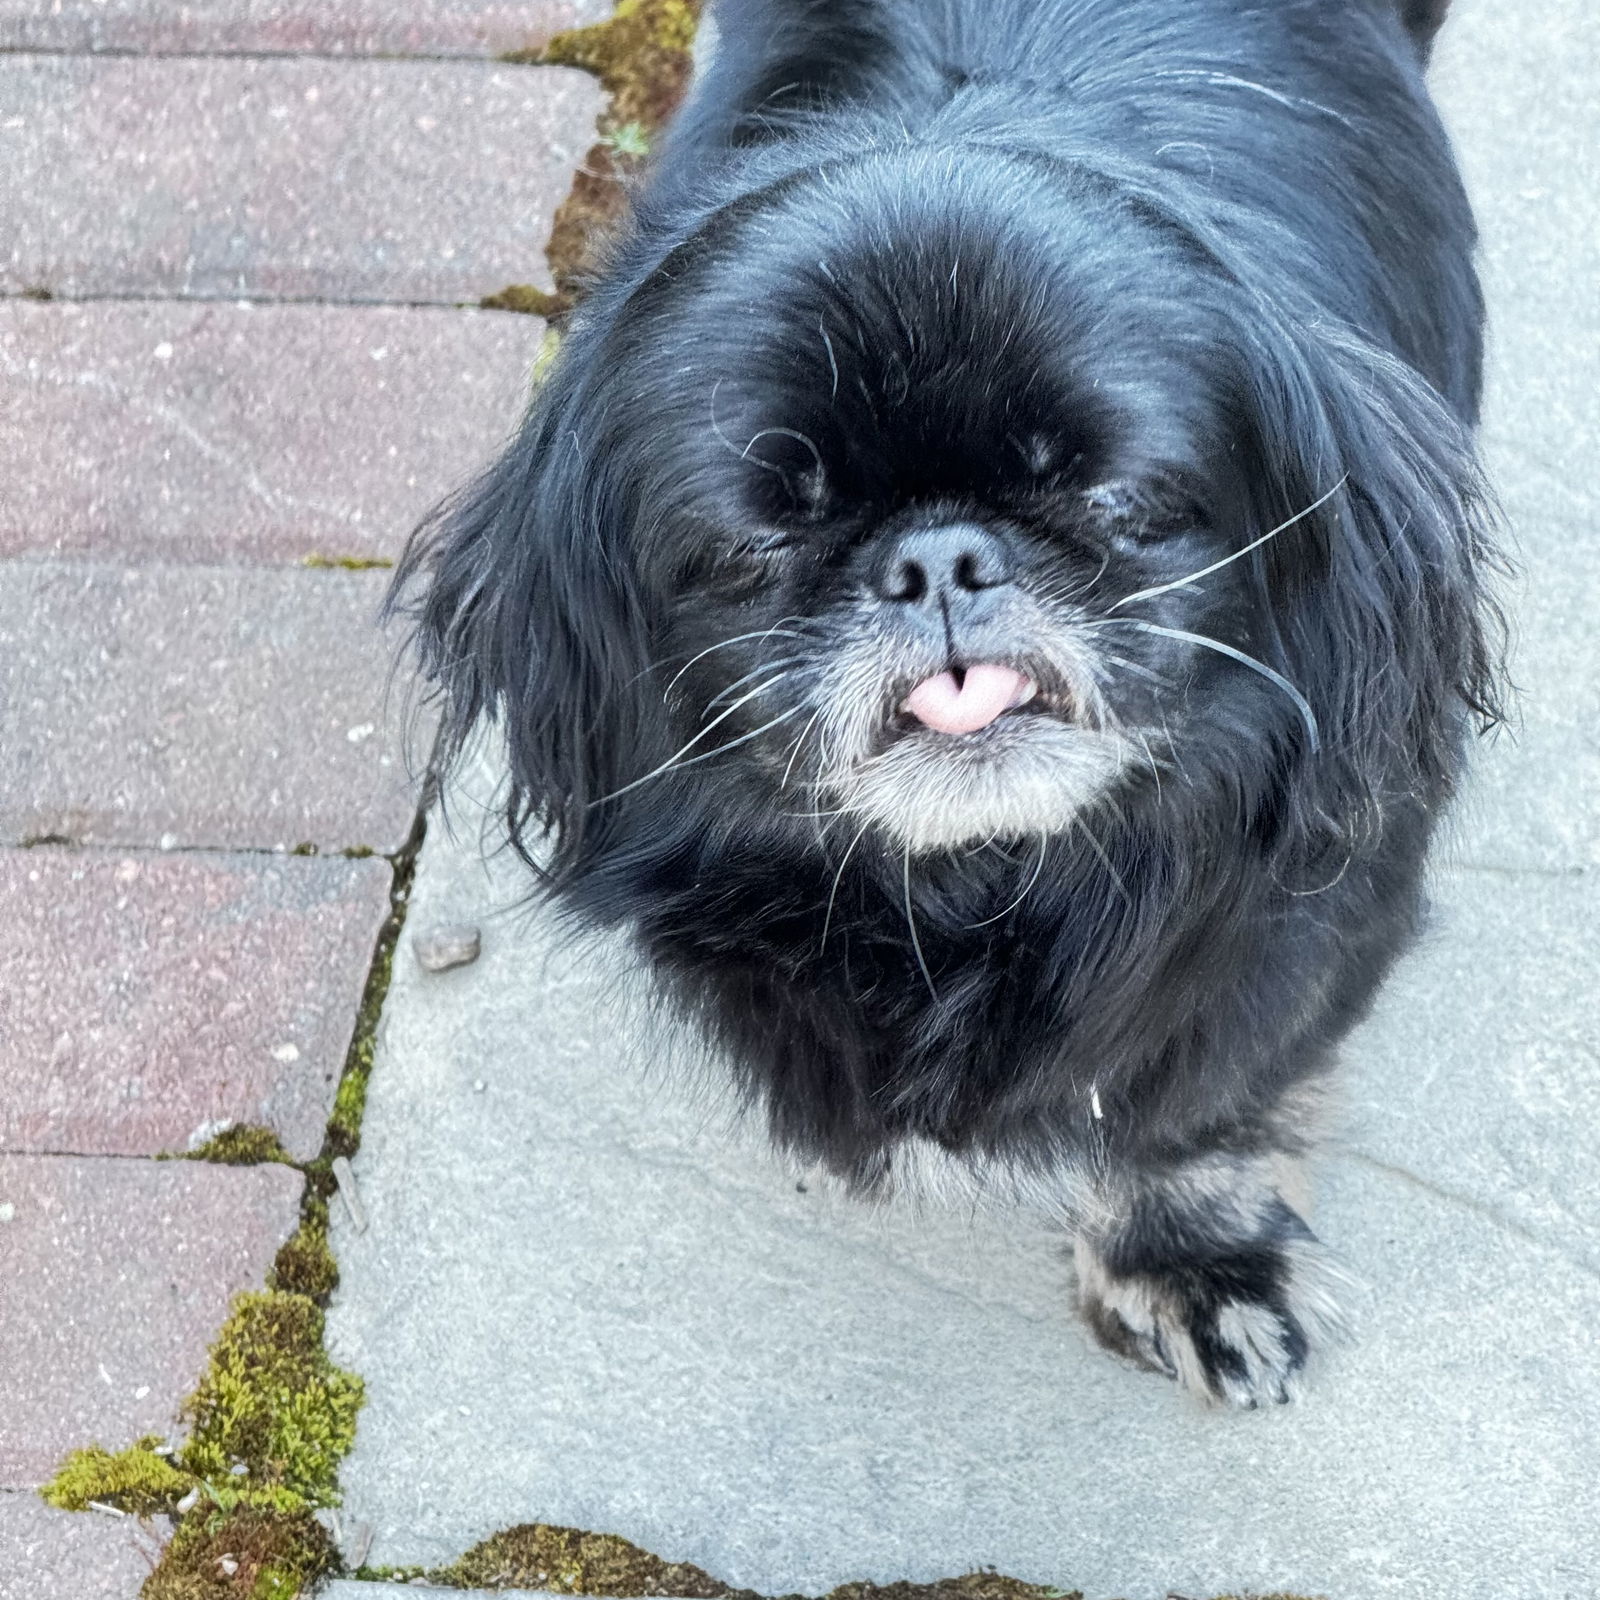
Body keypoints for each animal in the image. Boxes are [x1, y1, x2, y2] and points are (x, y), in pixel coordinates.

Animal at [393, 0, 1504, 1401]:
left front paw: (1189, 1260)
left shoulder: (1300, 918)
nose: (938, 560)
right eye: (760, 541)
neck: (980, 889)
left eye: (1115, 497)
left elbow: (1198, 1100)